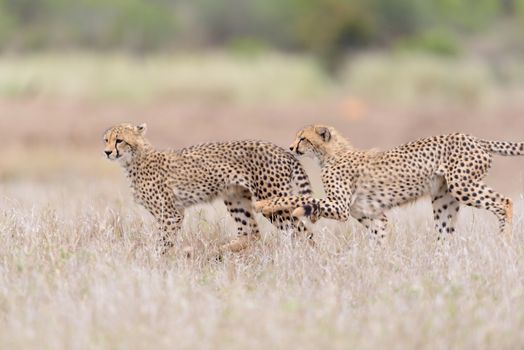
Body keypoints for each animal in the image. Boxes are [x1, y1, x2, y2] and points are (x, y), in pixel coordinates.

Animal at [104, 123, 314, 254]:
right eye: (106, 140)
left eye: (119, 140)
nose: (107, 152)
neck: (134, 159)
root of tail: (283, 150)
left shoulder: (171, 214)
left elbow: (164, 241)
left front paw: (158, 261)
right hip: (235, 197)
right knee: (251, 233)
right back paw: (217, 252)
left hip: (273, 201)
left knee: (304, 232)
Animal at [256, 124, 520, 242]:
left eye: (303, 139)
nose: (291, 147)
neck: (331, 154)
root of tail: (474, 138)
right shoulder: (372, 215)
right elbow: (379, 236)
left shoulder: (341, 208)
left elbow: (299, 196)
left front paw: (265, 204)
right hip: (444, 199)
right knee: (445, 232)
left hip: (462, 186)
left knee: (505, 201)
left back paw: (504, 239)